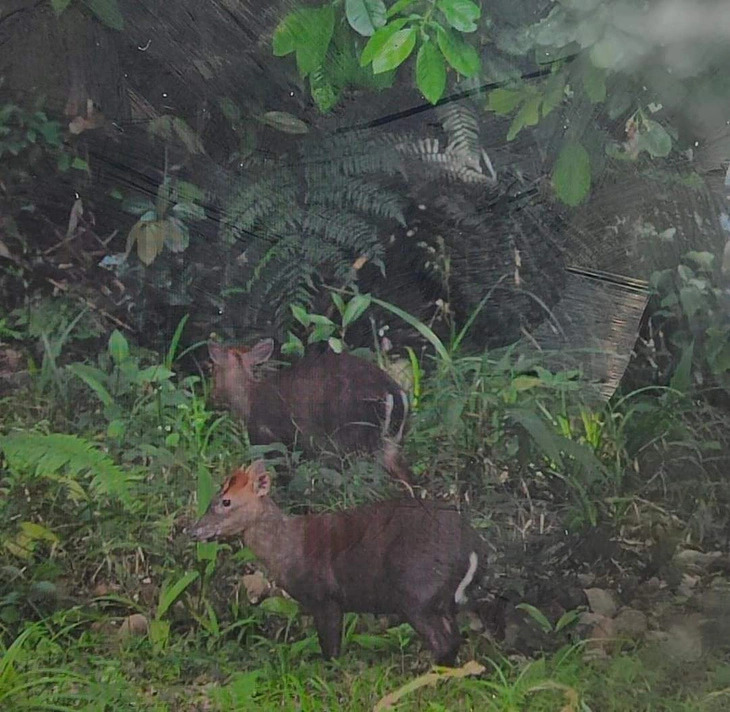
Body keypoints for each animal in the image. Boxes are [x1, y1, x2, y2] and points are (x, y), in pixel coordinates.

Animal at [188, 458, 484, 664]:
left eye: (226, 501)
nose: (193, 530)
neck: (287, 548)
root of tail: (471, 547)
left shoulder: (325, 597)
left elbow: (331, 651)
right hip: (442, 600)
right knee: (454, 639)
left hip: (416, 592)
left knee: (443, 642)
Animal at [210, 340, 412, 484]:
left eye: (213, 369)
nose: (212, 397)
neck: (249, 398)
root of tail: (394, 393)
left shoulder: (270, 437)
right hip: (391, 443)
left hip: (350, 439)